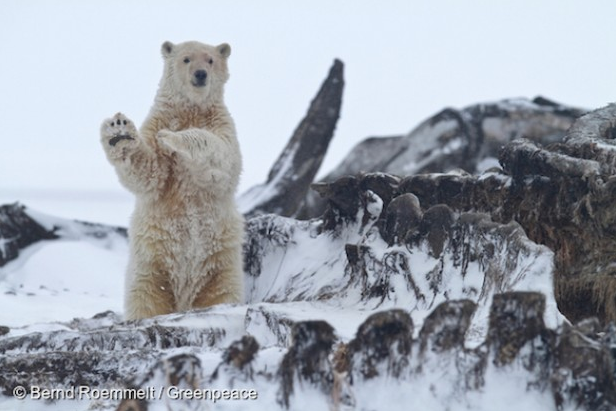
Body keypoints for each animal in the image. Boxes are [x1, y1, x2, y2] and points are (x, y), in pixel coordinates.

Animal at [100, 40, 243, 320]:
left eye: (210, 60)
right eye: (186, 59)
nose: (200, 74)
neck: (191, 108)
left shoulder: (222, 125)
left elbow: (221, 155)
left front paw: (173, 138)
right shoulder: (157, 121)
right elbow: (149, 171)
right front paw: (119, 130)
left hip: (221, 266)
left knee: (222, 292)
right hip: (150, 266)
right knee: (146, 298)